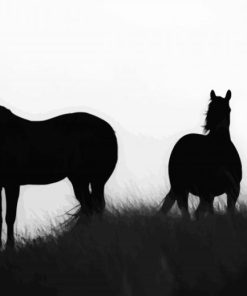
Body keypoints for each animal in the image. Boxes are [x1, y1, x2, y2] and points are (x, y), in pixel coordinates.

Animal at [0, 106, 117, 247]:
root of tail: (109, 130)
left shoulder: (12, 184)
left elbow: (10, 217)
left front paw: (9, 247)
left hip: (96, 180)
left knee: (97, 206)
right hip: (79, 181)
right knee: (88, 206)